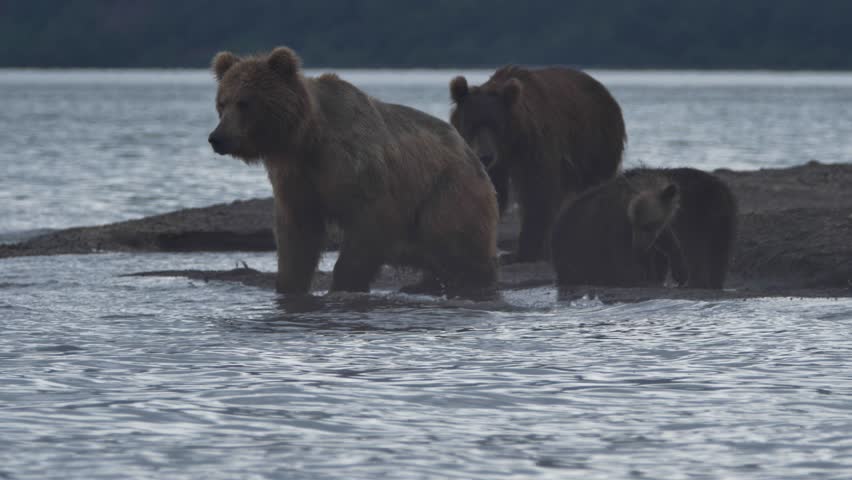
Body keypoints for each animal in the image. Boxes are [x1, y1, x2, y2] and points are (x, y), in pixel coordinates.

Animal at [207, 47, 499, 297]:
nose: (217, 137)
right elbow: (297, 236)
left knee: (463, 248)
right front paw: (290, 285)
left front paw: (344, 284)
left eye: (244, 102)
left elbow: (370, 223)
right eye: (222, 103)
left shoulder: (356, 168)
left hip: (447, 192)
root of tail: (469, 152)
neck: (306, 138)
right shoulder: (295, 177)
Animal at [449, 66, 626, 263]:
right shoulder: (497, 163)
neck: (511, 145)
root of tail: (606, 92)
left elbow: (538, 192)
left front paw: (522, 252)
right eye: (472, 124)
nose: (485, 156)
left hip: (595, 144)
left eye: (495, 125)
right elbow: (493, 191)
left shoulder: (536, 146)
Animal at [551, 173, 688, 288]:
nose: (638, 248)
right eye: (634, 223)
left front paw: (680, 273)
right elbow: (622, 257)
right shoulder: (615, 224)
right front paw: (640, 279)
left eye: (648, 225)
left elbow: (667, 240)